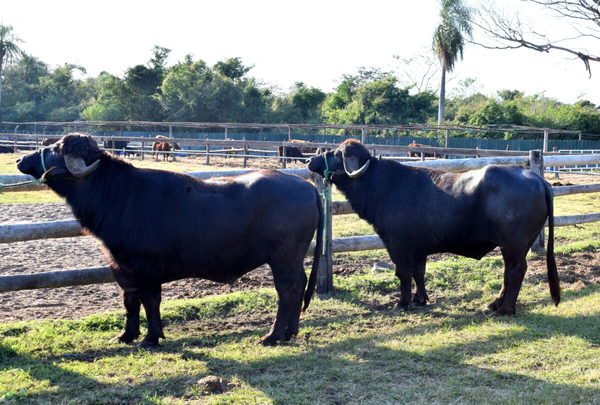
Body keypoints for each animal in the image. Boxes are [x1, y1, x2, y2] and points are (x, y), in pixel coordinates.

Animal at [17, 132, 324, 344]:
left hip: (283, 258)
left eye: (55, 148)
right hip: (293, 259)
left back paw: (273, 335)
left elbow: (151, 302)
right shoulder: (124, 270)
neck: (117, 194)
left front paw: (151, 338)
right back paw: (291, 331)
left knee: (287, 290)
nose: (22, 159)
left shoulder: (147, 270)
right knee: (300, 285)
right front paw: (126, 335)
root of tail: (306, 187)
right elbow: (130, 302)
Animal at [308, 137, 560, 314]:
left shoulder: (399, 244)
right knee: (510, 271)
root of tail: (537, 179)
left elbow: (403, 273)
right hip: (520, 244)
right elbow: (419, 272)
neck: (381, 184)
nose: (312, 161)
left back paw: (505, 309)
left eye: (337, 154)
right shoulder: (419, 248)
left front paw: (403, 302)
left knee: (516, 270)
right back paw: (495, 304)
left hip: (513, 243)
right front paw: (420, 299)